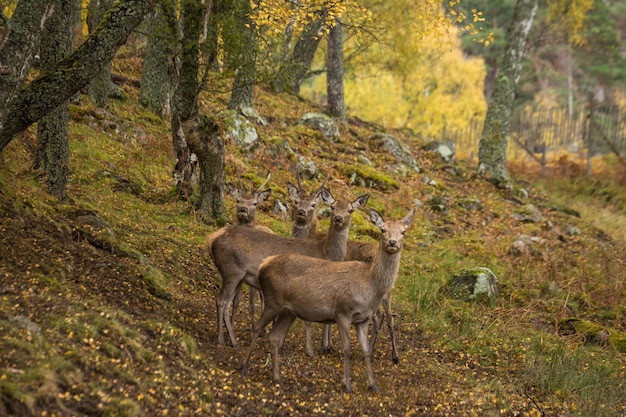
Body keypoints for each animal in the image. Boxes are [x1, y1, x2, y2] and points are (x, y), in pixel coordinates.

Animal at [207, 187, 368, 346]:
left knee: (227, 303)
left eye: (350, 210)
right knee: (221, 300)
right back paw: (221, 339)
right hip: (231, 270)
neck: (325, 253)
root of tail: (211, 239)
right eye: (332, 207)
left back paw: (234, 341)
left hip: (238, 275)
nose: (338, 218)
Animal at [240, 206, 414, 392]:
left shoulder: (363, 319)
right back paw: (244, 367)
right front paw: (347, 384)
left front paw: (373, 385)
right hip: (273, 301)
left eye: (403, 232)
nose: (392, 242)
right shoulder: (342, 312)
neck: (368, 284)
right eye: (383, 230)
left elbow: (366, 351)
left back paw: (277, 378)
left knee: (274, 337)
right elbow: (347, 349)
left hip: (288, 311)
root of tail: (263, 265)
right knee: (257, 328)